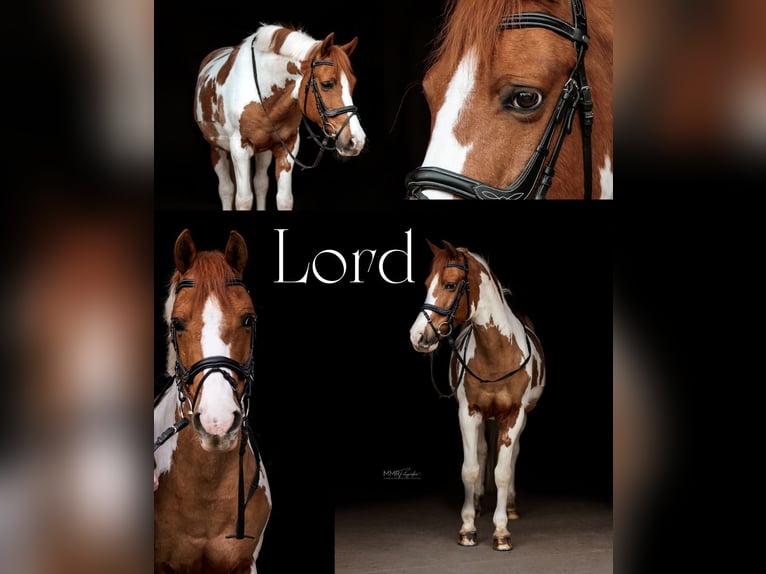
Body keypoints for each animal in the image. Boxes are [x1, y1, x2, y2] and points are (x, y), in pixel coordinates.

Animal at [194, 24, 367, 210]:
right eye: (327, 84)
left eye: (353, 84)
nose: (356, 140)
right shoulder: (239, 149)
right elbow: (243, 200)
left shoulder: (288, 146)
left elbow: (284, 199)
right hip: (217, 148)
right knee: (226, 189)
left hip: (263, 151)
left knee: (260, 184)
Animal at [409, 240, 546, 550]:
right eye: (426, 283)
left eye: (449, 284)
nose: (417, 337)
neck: (497, 353)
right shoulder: (469, 412)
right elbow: (470, 468)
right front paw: (468, 527)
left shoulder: (514, 415)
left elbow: (503, 472)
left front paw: (502, 531)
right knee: (483, 452)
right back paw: (481, 503)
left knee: (513, 455)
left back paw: (510, 507)